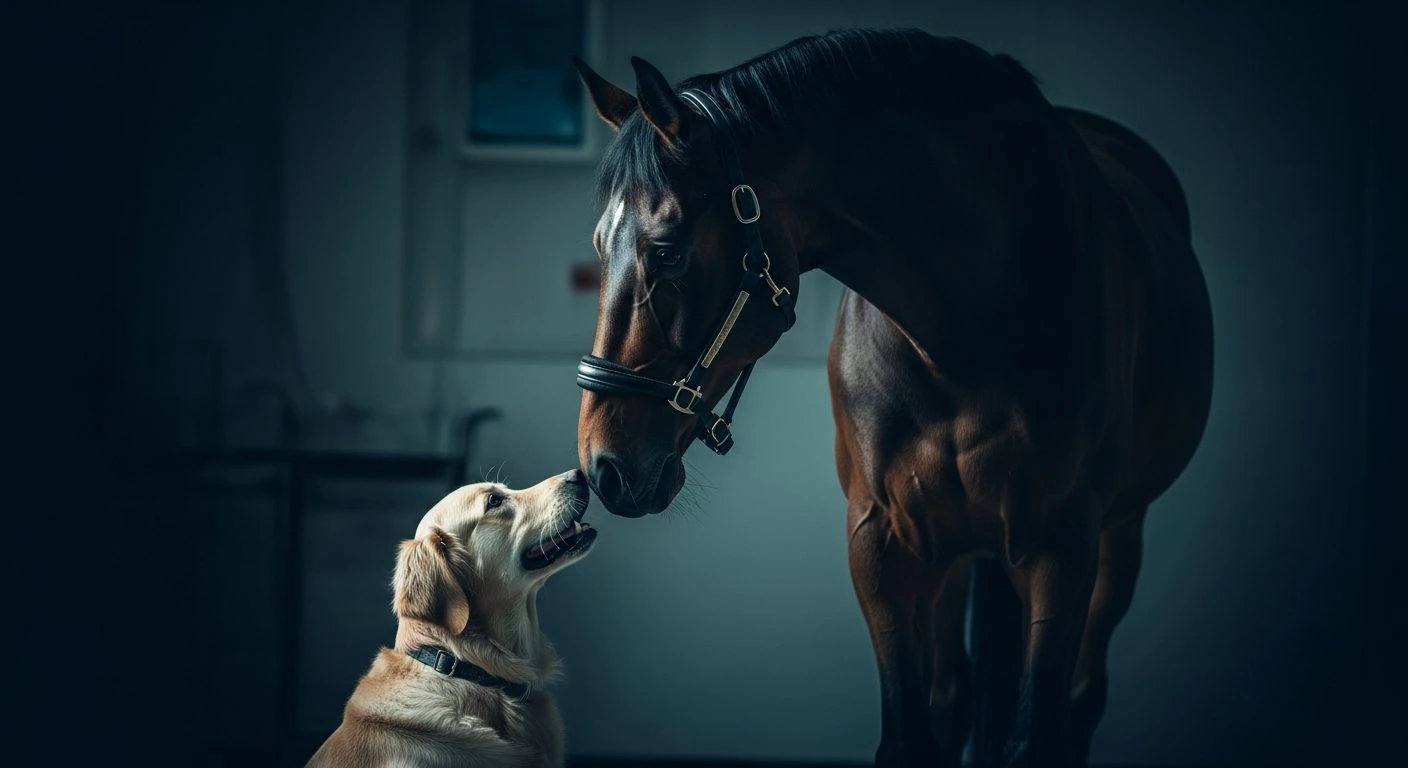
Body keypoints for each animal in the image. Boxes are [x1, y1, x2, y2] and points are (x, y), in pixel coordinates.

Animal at [571, 28, 1213, 768]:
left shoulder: (1063, 547)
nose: (602, 467)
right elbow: (911, 731)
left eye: (668, 253)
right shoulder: (882, 541)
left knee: (1079, 700)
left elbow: (1036, 734)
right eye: (600, 247)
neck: (968, 332)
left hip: (1116, 539)